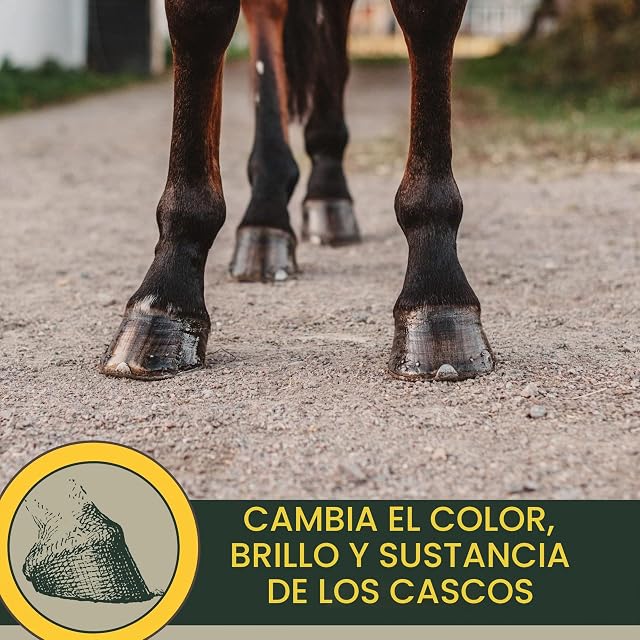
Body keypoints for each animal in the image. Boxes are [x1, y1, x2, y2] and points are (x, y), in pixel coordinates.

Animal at [100, 0, 495, 383]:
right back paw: (266, 218)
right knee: (269, 19)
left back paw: (327, 195)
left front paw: (436, 293)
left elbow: (428, 15)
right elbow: (198, 21)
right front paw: (166, 293)